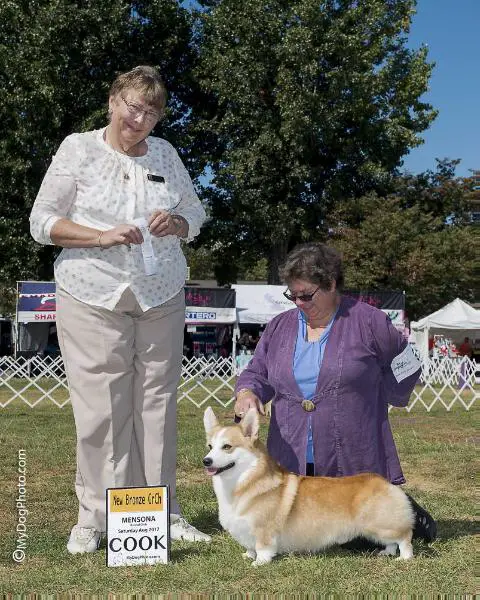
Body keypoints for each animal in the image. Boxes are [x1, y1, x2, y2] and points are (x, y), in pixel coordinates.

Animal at [201, 406, 414, 564]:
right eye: (210, 447)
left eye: (227, 447)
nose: (206, 461)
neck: (242, 481)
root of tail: (384, 481)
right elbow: (250, 547)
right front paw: (248, 555)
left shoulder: (263, 530)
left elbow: (262, 548)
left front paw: (259, 562)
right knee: (391, 542)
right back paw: (387, 553)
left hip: (381, 524)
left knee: (405, 537)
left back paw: (404, 558)